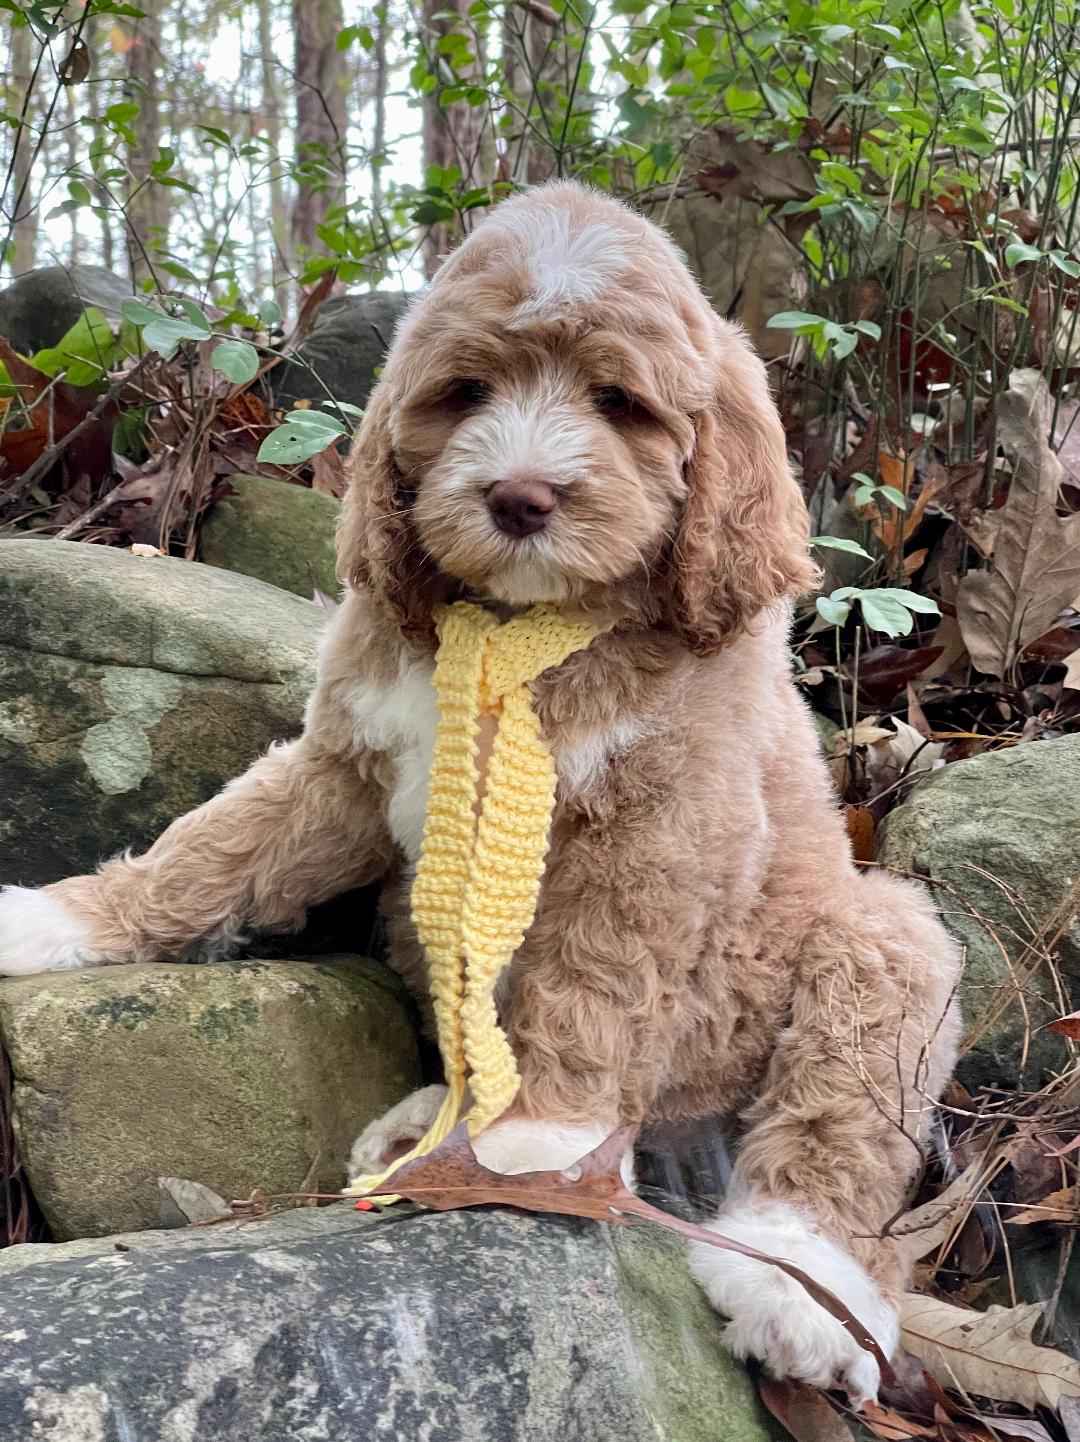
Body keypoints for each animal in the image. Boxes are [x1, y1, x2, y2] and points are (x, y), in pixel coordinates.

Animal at [0, 182, 960, 1405]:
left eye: (618, 401)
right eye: (466, 394)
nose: (520, 495)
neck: (516, 628)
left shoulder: (656, 828)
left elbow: (589, 980)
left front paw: (538, 1134)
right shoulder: (346, 765)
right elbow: (213, 847)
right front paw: (58, 919)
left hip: (877, 938)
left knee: (842, 1111)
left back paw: (800, 1284)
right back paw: (425, 1125)